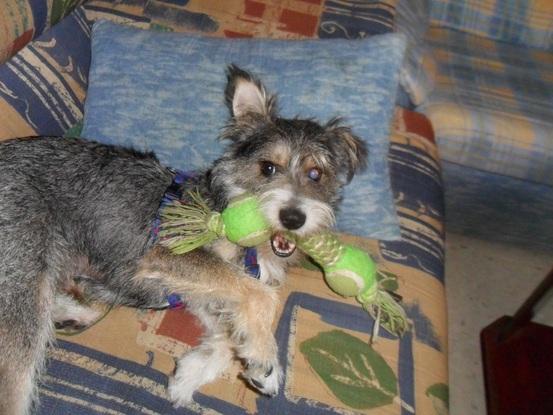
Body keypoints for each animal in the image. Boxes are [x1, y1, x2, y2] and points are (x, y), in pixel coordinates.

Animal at [0, 66, 366, 414]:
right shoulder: (167, 254)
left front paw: (192, 373)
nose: (293, 217)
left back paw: (73, 311)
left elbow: (231, 326)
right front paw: (265, 357)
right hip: (23, 286)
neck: (225, 201)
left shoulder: (194, 290)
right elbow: (260, 295)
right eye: (268, 168)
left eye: (316, 174)